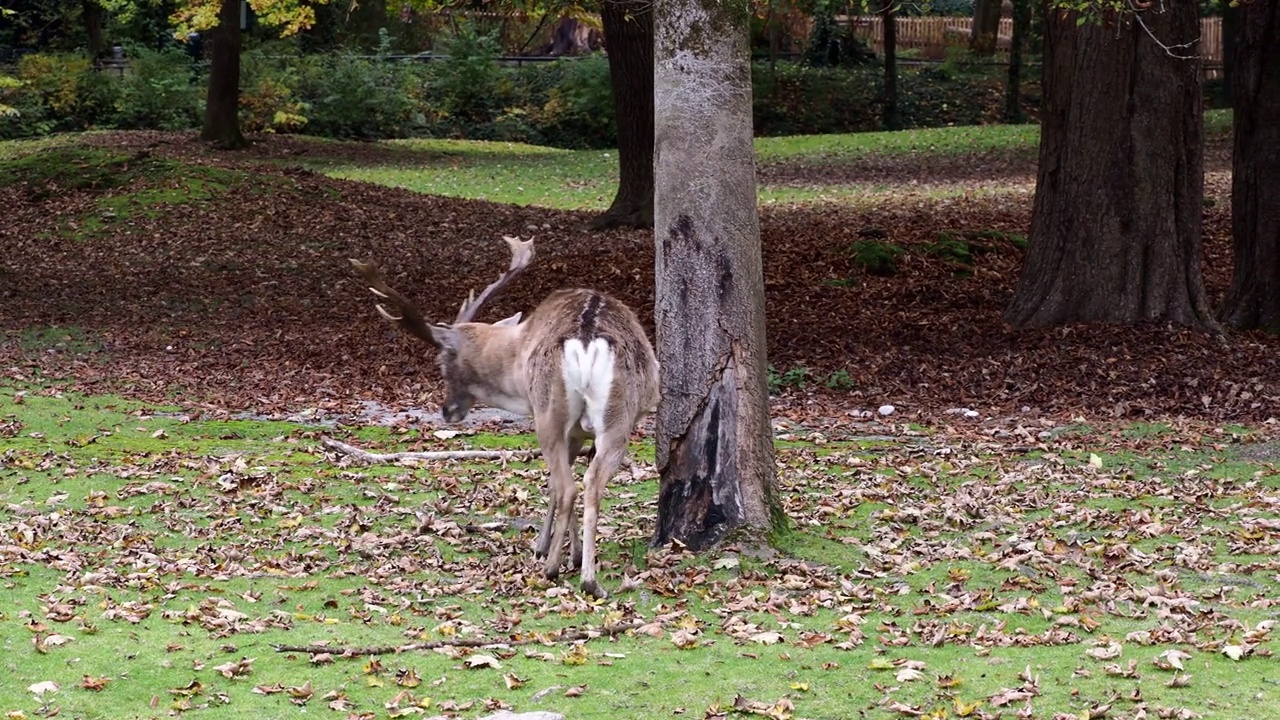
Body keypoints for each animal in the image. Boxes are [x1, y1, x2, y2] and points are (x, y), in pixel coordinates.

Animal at [350, 235, 660, 594]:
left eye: (441, 363)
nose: (447, 410)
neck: (518, 354)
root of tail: (586, 338)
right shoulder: (583, 432)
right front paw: (574, 553)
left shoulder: (560, 425)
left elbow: (554, 486)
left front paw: (546, 548)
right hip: (618, 419)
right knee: (591, 483)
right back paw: (590, 580)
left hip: (549, 412)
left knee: (566, 486)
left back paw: (551, 568)